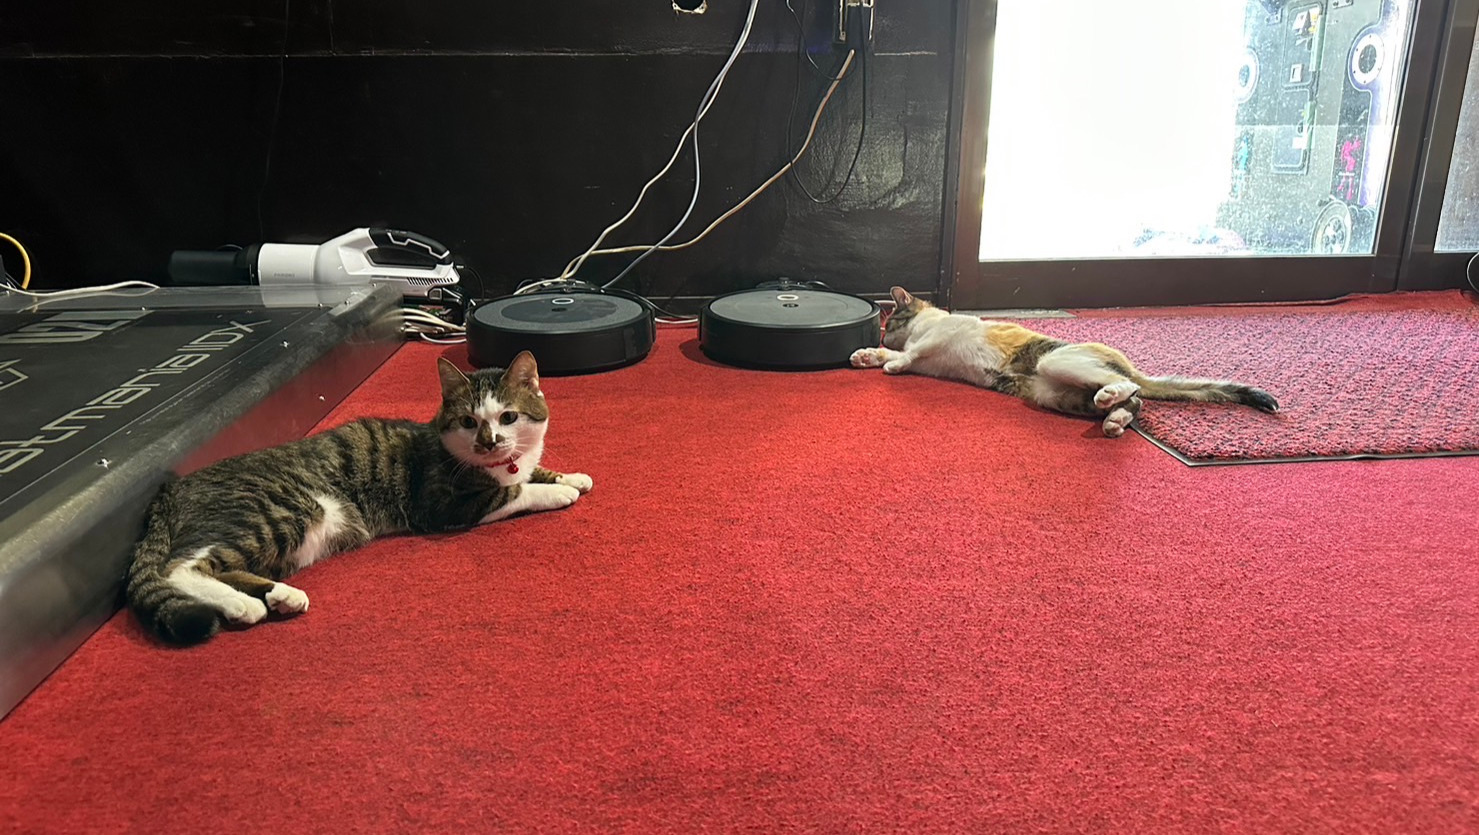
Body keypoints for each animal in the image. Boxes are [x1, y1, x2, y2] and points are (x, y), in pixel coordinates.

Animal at [126, 351, 592, 646]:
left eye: (508, 417)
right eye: (468, 421)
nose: (490, 442)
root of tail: (169, 491)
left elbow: (533, 470)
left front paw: (573, 475)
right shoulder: (444, 504)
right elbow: (513, 490)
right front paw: (558, 490)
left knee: (224, 567)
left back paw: (278, 596)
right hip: (283, 509)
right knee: (180, 568)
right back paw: (244, 604)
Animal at [850, 287, 1278, 437]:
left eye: (892, 321)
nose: (882, 336)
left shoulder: (939, 336)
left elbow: (910, 354)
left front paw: (889, 361)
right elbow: (906, 355)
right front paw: (868, 355)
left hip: (1057, 364)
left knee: (1131, 388)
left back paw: (1113, 398)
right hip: (1059, 395)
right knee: (1134, 402)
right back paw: (1114, 418)